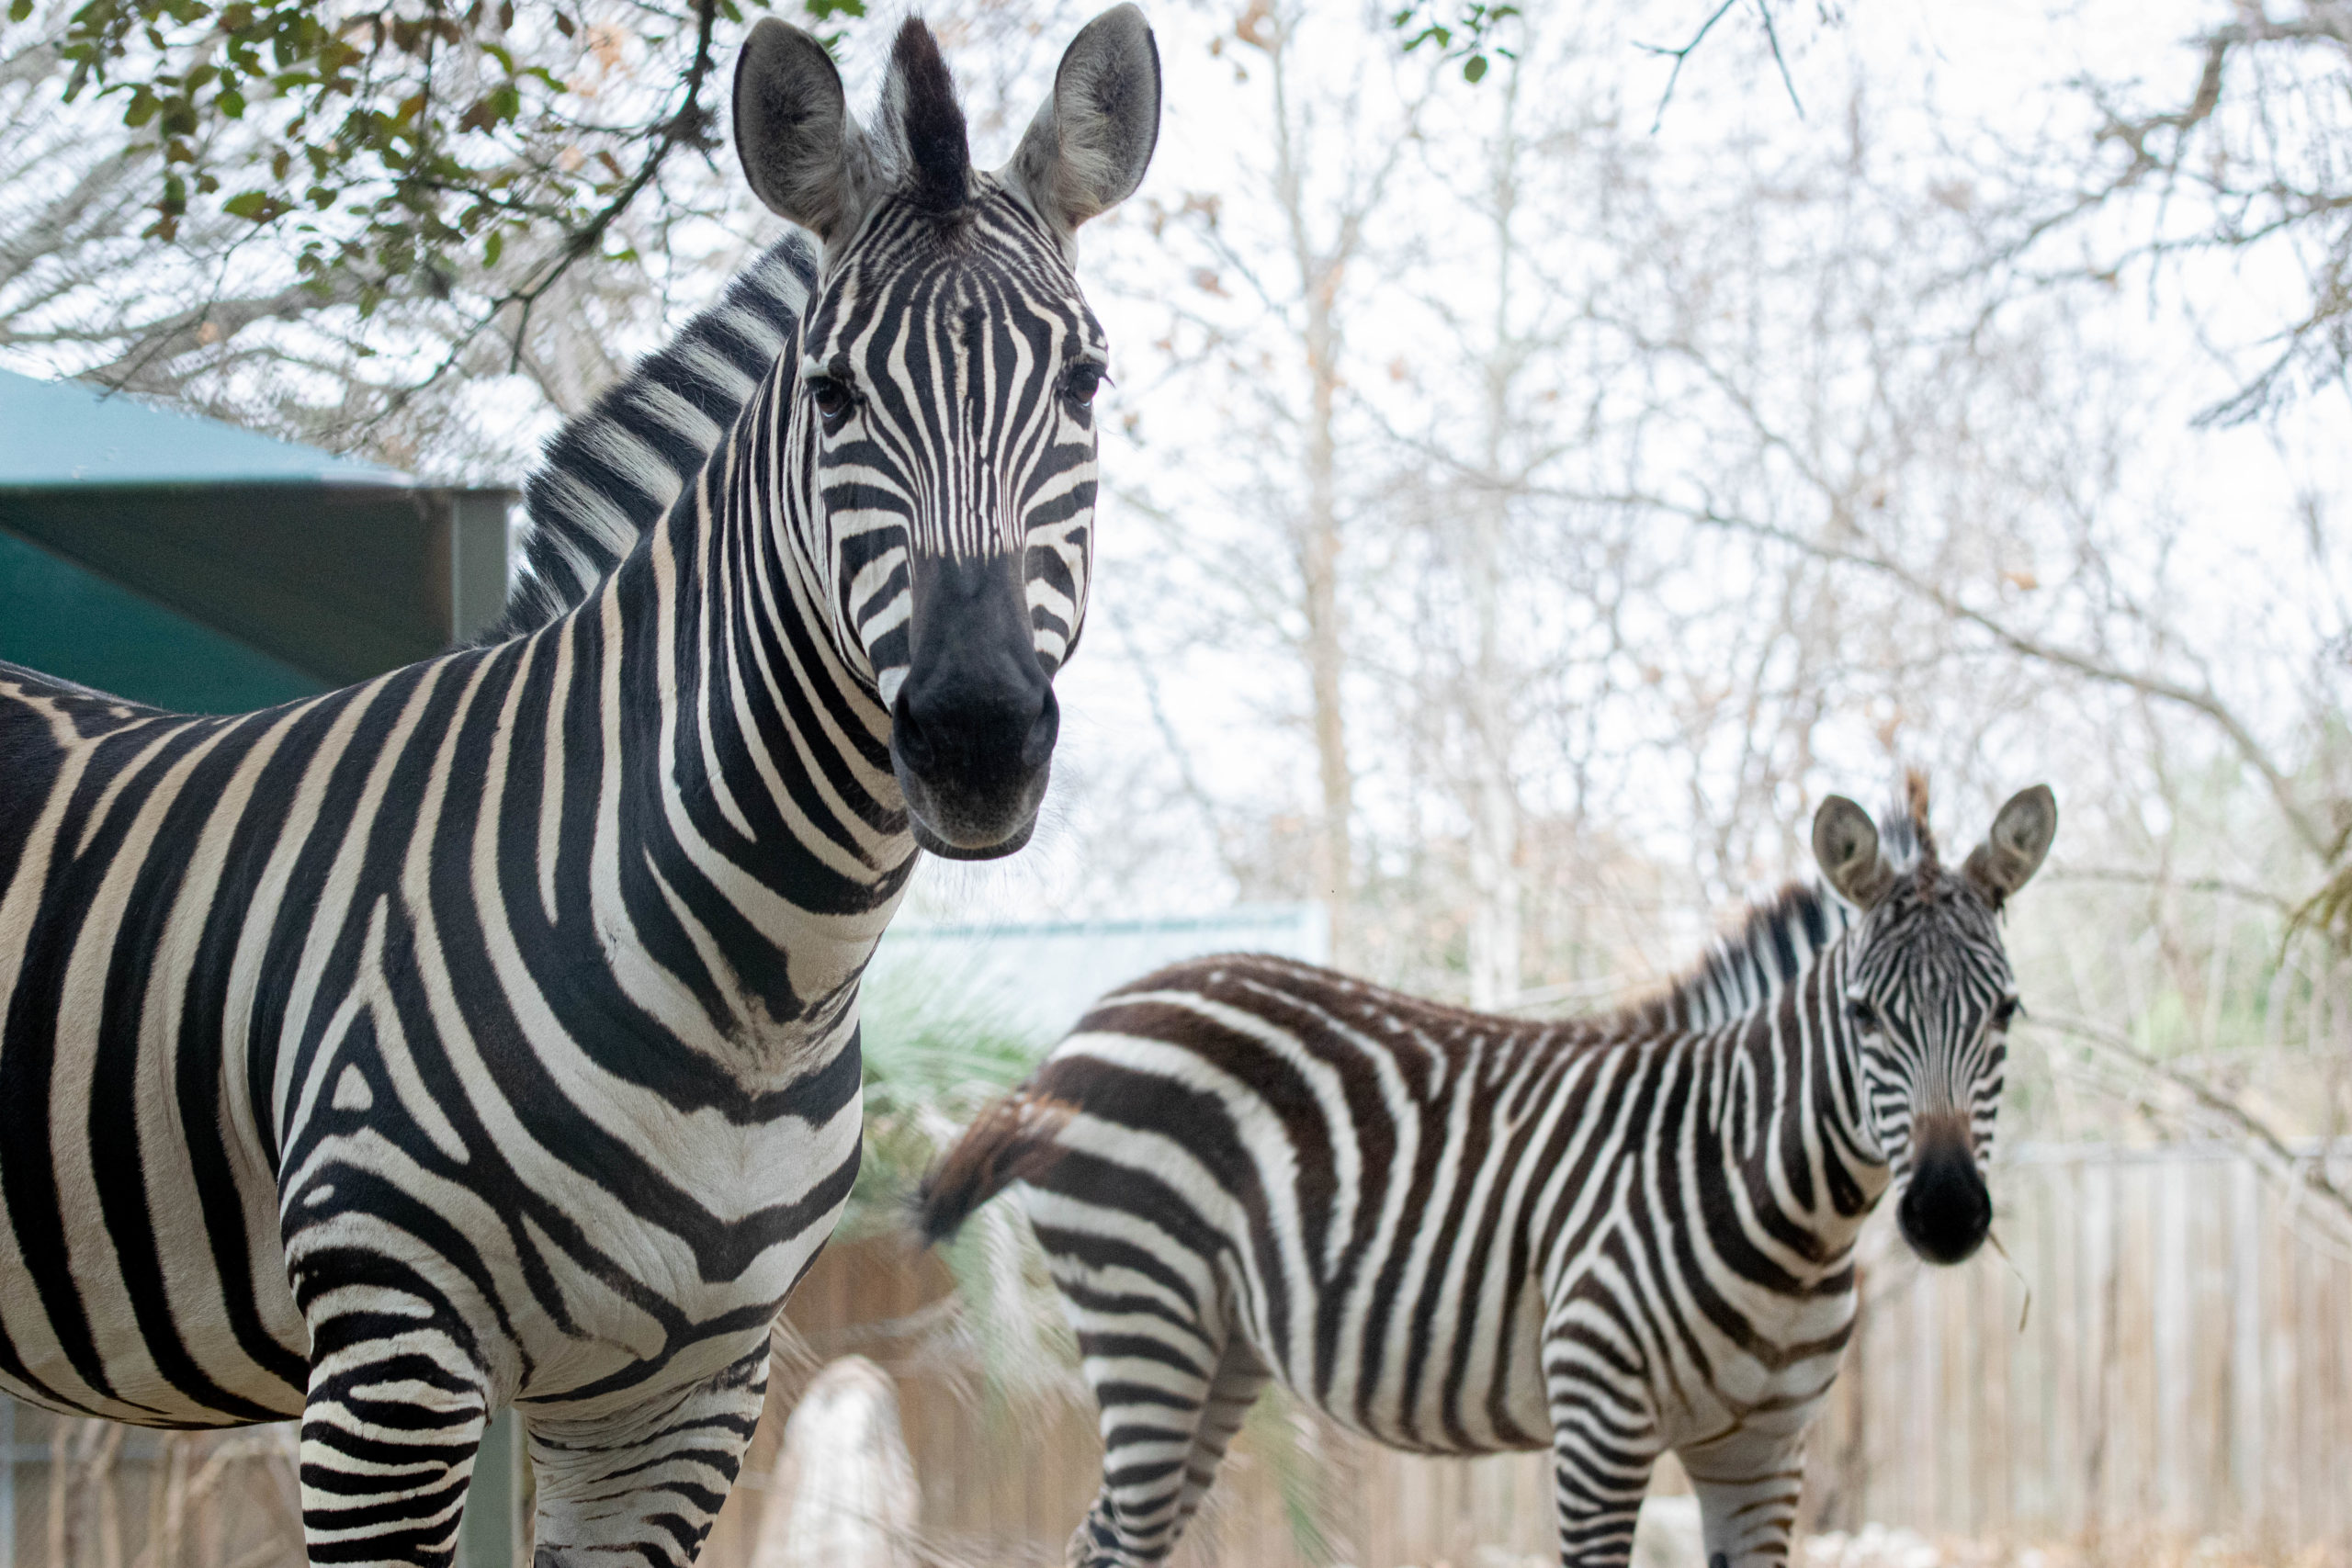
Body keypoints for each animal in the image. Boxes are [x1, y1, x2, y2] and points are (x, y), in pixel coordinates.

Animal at [0, 12, 1157, 1568]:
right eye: (832, 394)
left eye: (1084, 382)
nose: (975, 736)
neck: (758, 983)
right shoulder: (390, 1363)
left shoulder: (684, 1395)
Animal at [917, 780, 2060, 1568]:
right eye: (1864, 1015)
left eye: (2007, 1010)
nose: (1947, 1215)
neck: (1785, 1210)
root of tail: (1088, 1023)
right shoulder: (1600, 1421)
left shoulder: (1765, 1452)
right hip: (1144, 1312)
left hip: (1217, 1347)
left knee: (1111, 1537)